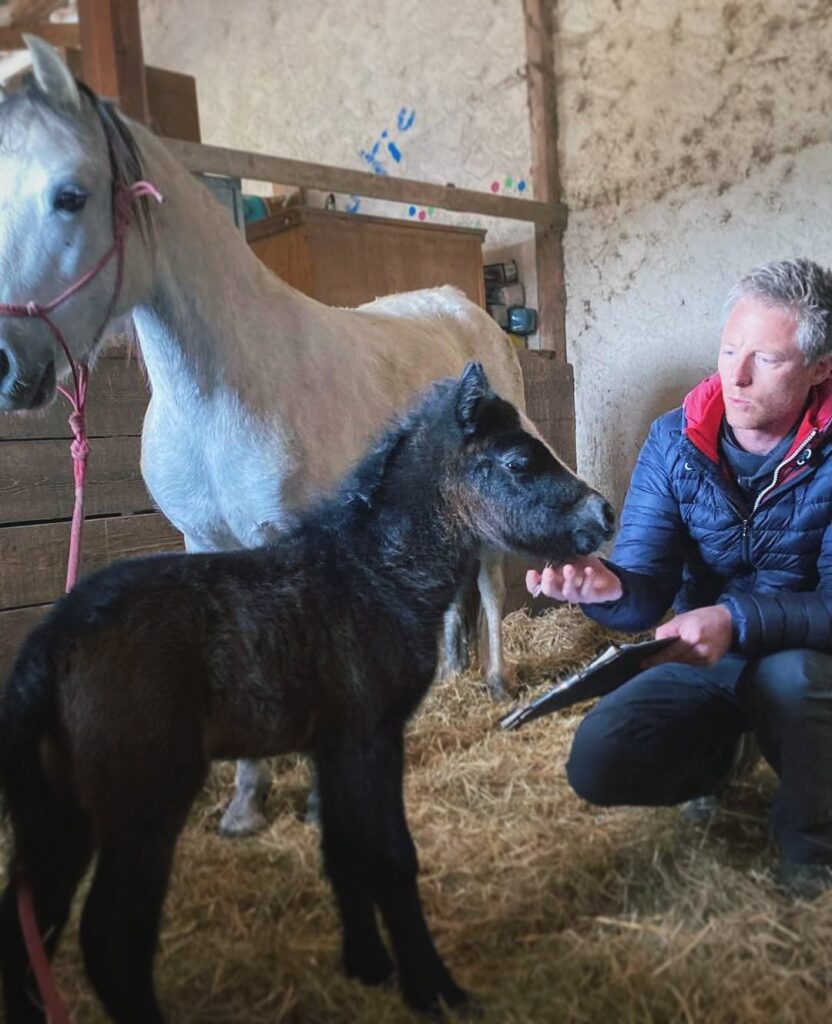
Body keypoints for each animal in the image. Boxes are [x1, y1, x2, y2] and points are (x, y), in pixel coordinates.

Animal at [0, 36, 531, 835]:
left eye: (71, 195)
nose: (5, 363)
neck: (219, 396)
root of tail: (462, 307)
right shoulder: (207, 543)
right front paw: (246, 803)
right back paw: (443, 681)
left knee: (493, 587)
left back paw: (497, 684)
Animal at [0, 363, 614, 1023]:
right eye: (519, 462)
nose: (603, 513)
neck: (372, 574)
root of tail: (48, 648)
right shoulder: (372, 736)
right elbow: (390, 856)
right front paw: (433, 989)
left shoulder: (333, 745)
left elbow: (343, 852)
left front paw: (369, 967)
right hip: (144, 800)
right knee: (111, 935)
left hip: (55, 810)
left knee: (30, 922)